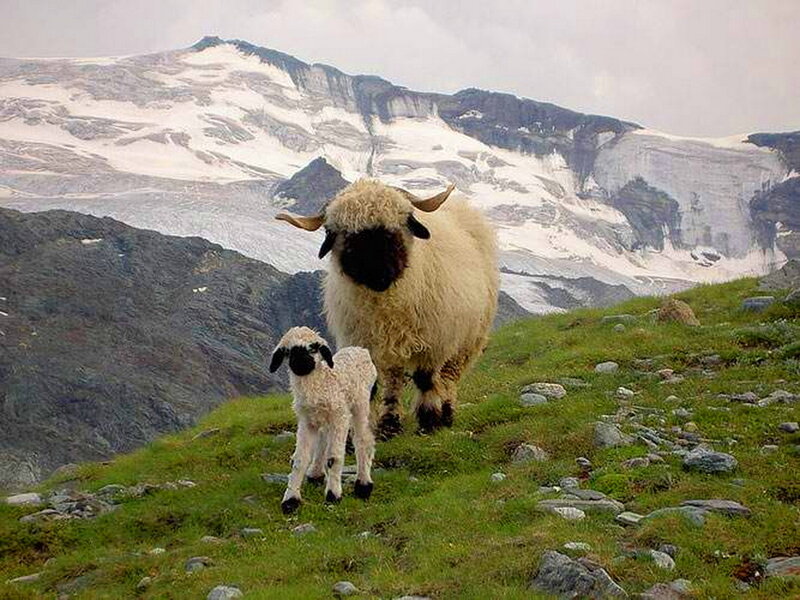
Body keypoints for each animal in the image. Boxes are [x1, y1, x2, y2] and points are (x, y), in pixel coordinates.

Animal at [269, 326, 377, 513]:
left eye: (314, 348)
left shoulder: (339, 417)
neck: (322, 383)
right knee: (323, 441)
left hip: (360, 405)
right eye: (287, 352)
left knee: (363, 440)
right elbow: (299, 460)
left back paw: (363, 484)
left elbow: (333, 458)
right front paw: (290, 500)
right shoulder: (306, 422)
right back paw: (316, 473)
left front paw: (333, 495)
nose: (300, 363)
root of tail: (360, 349)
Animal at [276, 179, 498, 439]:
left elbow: (425, 379)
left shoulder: (433, 341)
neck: (385, 306)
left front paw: (429, 421)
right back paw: (390, 422)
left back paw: (446, 413)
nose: (379, 276)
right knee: (395, 379)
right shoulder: (365, 341)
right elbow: (371, 387)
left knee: (448, 377)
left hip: (467, 340)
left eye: (400, 223)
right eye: (342, 234)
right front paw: (361, 433)